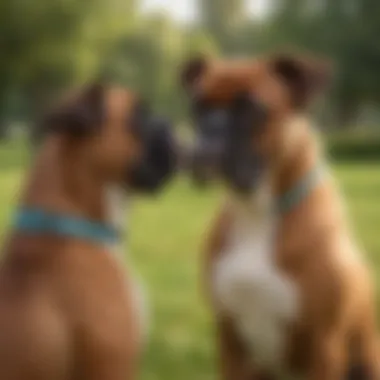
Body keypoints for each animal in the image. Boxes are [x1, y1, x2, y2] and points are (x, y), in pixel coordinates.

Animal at [181, 56, 380, 380]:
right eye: (198, 106)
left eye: (251, 108)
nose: (210, 133)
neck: (256, 211)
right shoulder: (230, 343)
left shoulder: (323, 348)